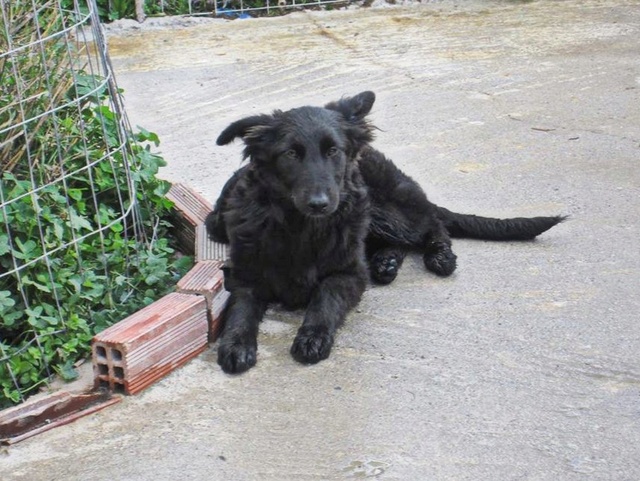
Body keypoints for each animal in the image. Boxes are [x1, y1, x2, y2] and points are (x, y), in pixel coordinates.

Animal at [206, 91, 564, 376]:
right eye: (290, 154)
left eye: (333, 151)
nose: (320, 204)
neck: (302, 228)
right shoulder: (246, 275)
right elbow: (240, 309)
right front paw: (236, 344)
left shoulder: (347, 273)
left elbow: (325, 299)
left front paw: (313, 337)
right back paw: (385, 263)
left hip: (380, 207)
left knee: (431, 224)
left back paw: (439, 257)